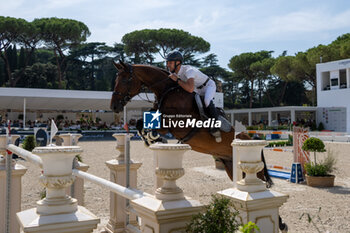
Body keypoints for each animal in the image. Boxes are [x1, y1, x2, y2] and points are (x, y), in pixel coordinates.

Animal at [110, 61, 288, 232]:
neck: (167, 91)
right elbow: (141, 122)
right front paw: (150, 139)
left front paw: (154, 137)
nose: (114, 107)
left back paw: (281, 224)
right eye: (115, 80)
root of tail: (248, 137)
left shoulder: (177, 124)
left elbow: (157, 125)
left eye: (124, 80)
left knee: (262, 183)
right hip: (230, 166)